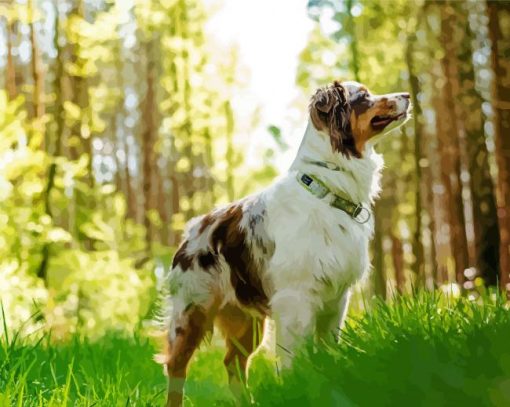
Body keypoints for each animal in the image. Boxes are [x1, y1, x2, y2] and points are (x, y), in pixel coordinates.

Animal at [157, 81, 412, 406]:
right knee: (176, 365)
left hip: (247, 321)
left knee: (233, 364)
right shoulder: (295, 298)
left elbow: (327, 351)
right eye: (364, 96)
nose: (407, 95)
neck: (327, 189)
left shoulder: (336, 298)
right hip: (192, 311)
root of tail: (191, 231)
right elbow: (294, 360)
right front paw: (297, 390)